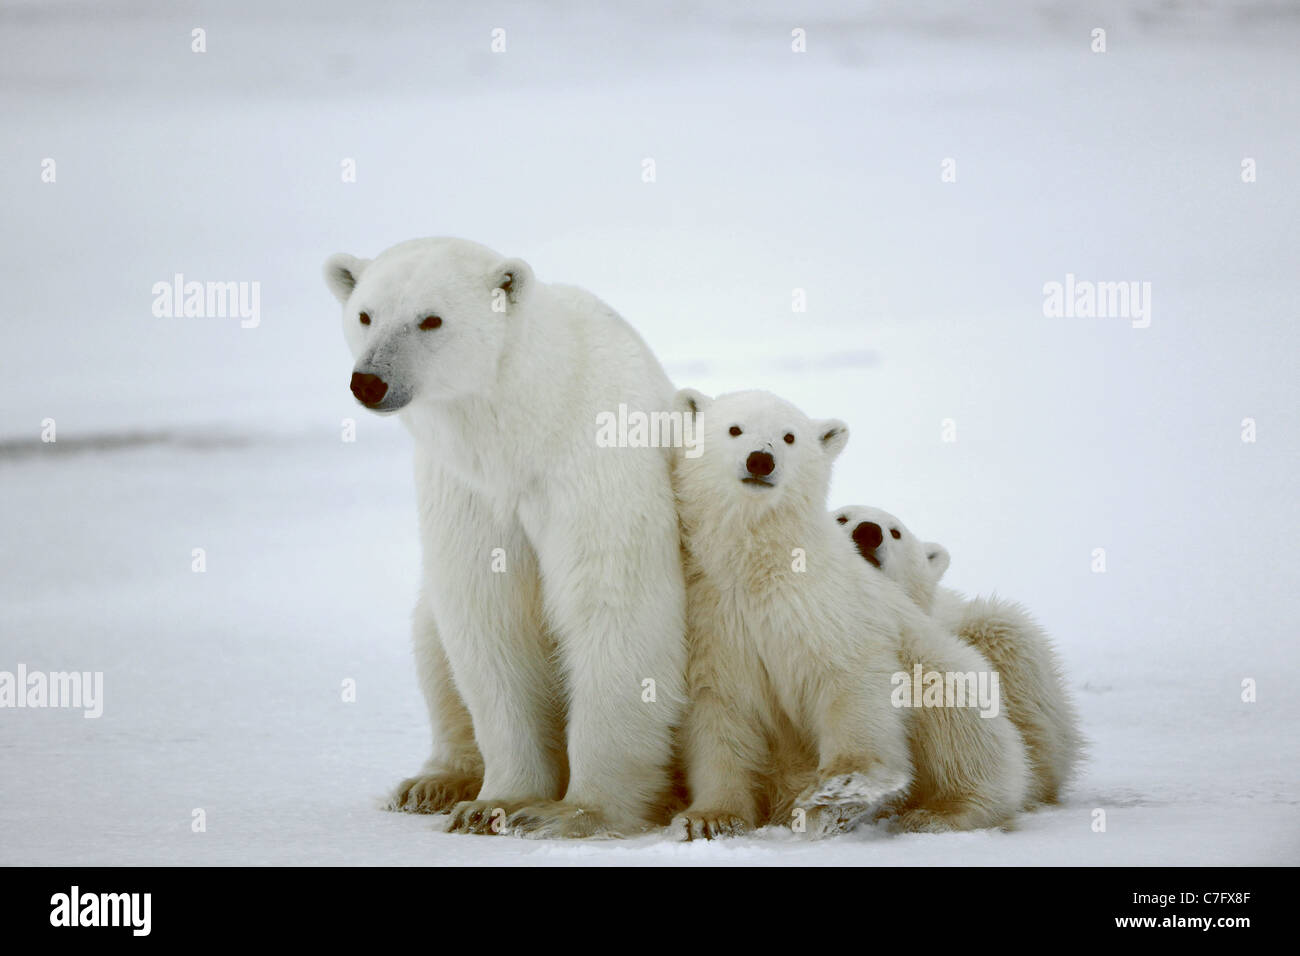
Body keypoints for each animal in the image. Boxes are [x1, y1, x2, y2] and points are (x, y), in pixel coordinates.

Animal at [322, 239, 691, 837]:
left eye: (430, 319)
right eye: (365, 315)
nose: (369, 381)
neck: (525, 427)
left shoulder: (594, 462)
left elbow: (614, 606)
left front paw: (572, 812)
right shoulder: (467, 488)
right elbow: (488, 615)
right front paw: (493, 804)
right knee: (431, 639)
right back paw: (433, 783)